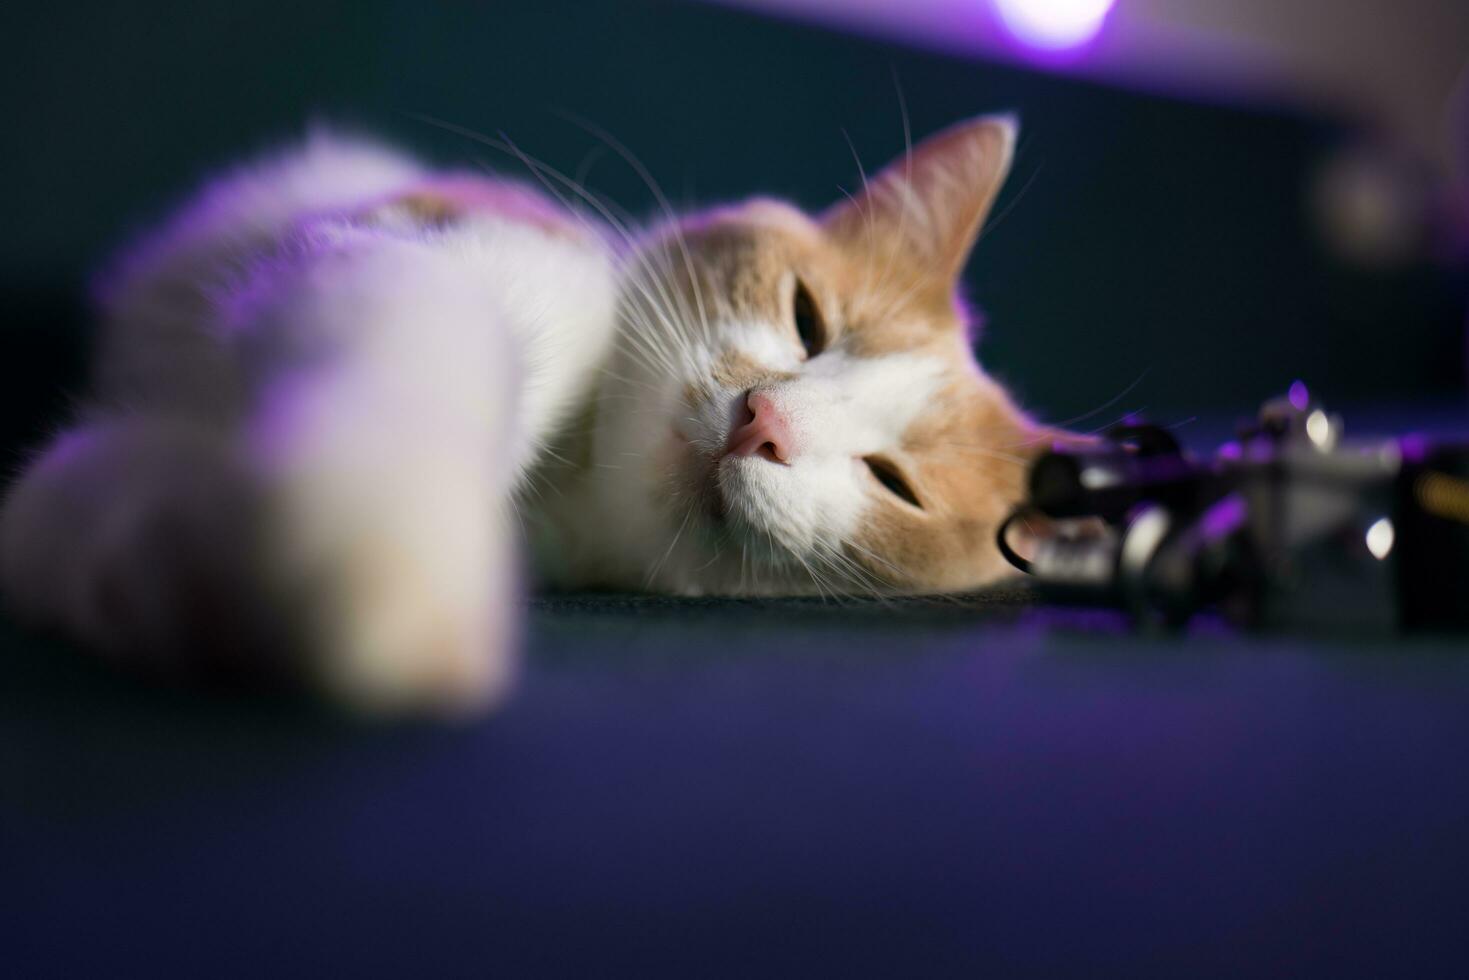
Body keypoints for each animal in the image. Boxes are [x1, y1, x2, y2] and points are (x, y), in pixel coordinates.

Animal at [0, 115, 1057, 717]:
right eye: (806, 319)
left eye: (896, 486)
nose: (764, 421)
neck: (574, 478)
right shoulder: (448, 246)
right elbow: (420, 332)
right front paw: (379, 551)